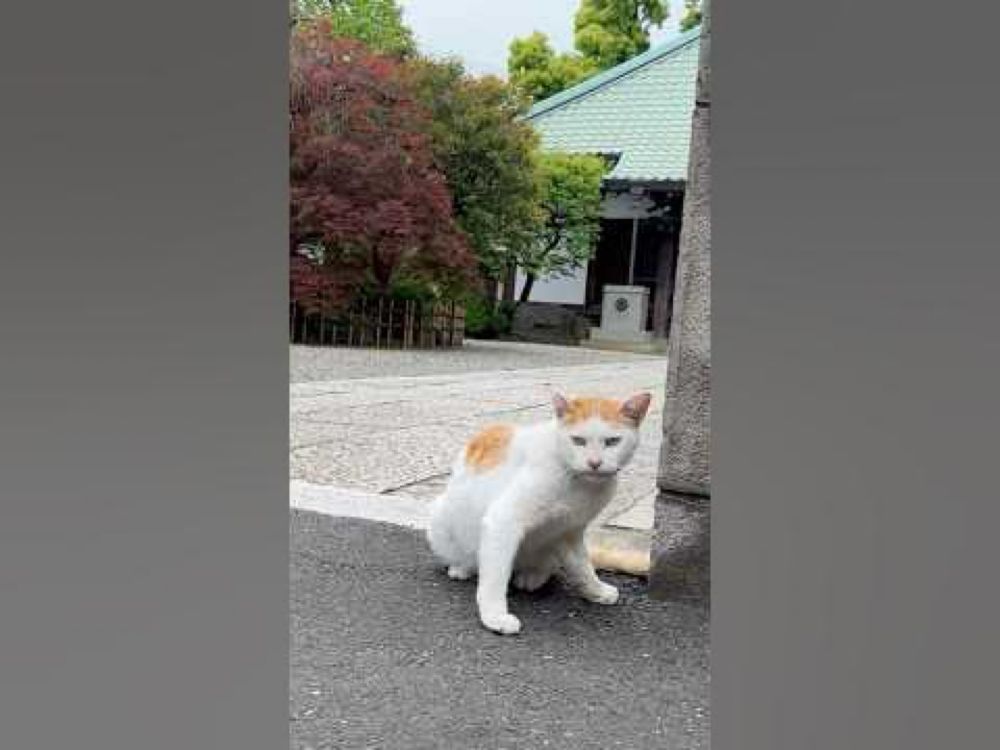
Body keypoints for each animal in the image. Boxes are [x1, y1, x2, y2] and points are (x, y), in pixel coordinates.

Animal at [426, 394, 652, 636]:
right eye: (578, 440)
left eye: (612, 441)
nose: (594, 463)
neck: (577, 482)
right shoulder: (503, 522)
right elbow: (495, 576)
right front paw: (494, 616)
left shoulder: (569, 531)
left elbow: (582, 565)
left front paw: (596, 590)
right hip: (440, 516)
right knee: (471, 558)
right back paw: (462, 568)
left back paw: (532, 576)